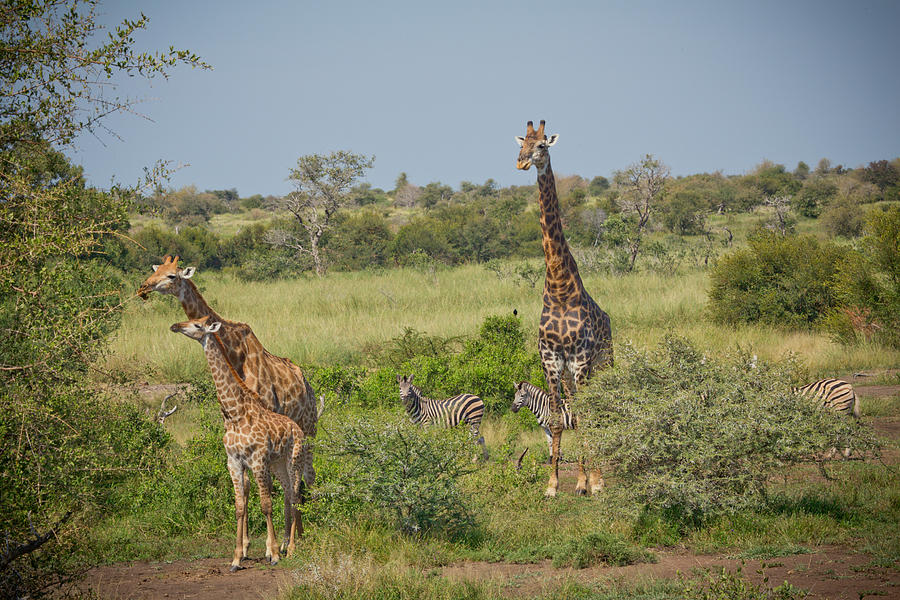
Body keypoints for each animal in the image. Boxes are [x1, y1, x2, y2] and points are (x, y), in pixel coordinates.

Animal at [171, 316, 304, 568]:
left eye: (197, 325)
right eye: (190, 321)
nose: (175, 326)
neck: (235, 413)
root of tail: (298, 428)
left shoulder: (258, 459)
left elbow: (265, 505)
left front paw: (273, 554)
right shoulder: (233, 462)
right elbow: (240, 506)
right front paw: (236, 558)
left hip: (293, 460)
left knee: (294, 495)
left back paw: (291, 549)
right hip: (278, 464)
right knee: (289, 494)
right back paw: (290, 545)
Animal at [512, 120, 612, 496]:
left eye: (542, 145)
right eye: (521, 144)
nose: (522, 163)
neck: (558, 287)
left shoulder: (580, 358)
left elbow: (584, 415)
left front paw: (595, 483)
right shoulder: (552, 361)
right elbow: (557, 419)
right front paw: (554, 484)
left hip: (603, 364)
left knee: (598, 408)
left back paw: (597, 478)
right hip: (572, 374)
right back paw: (582, 479)